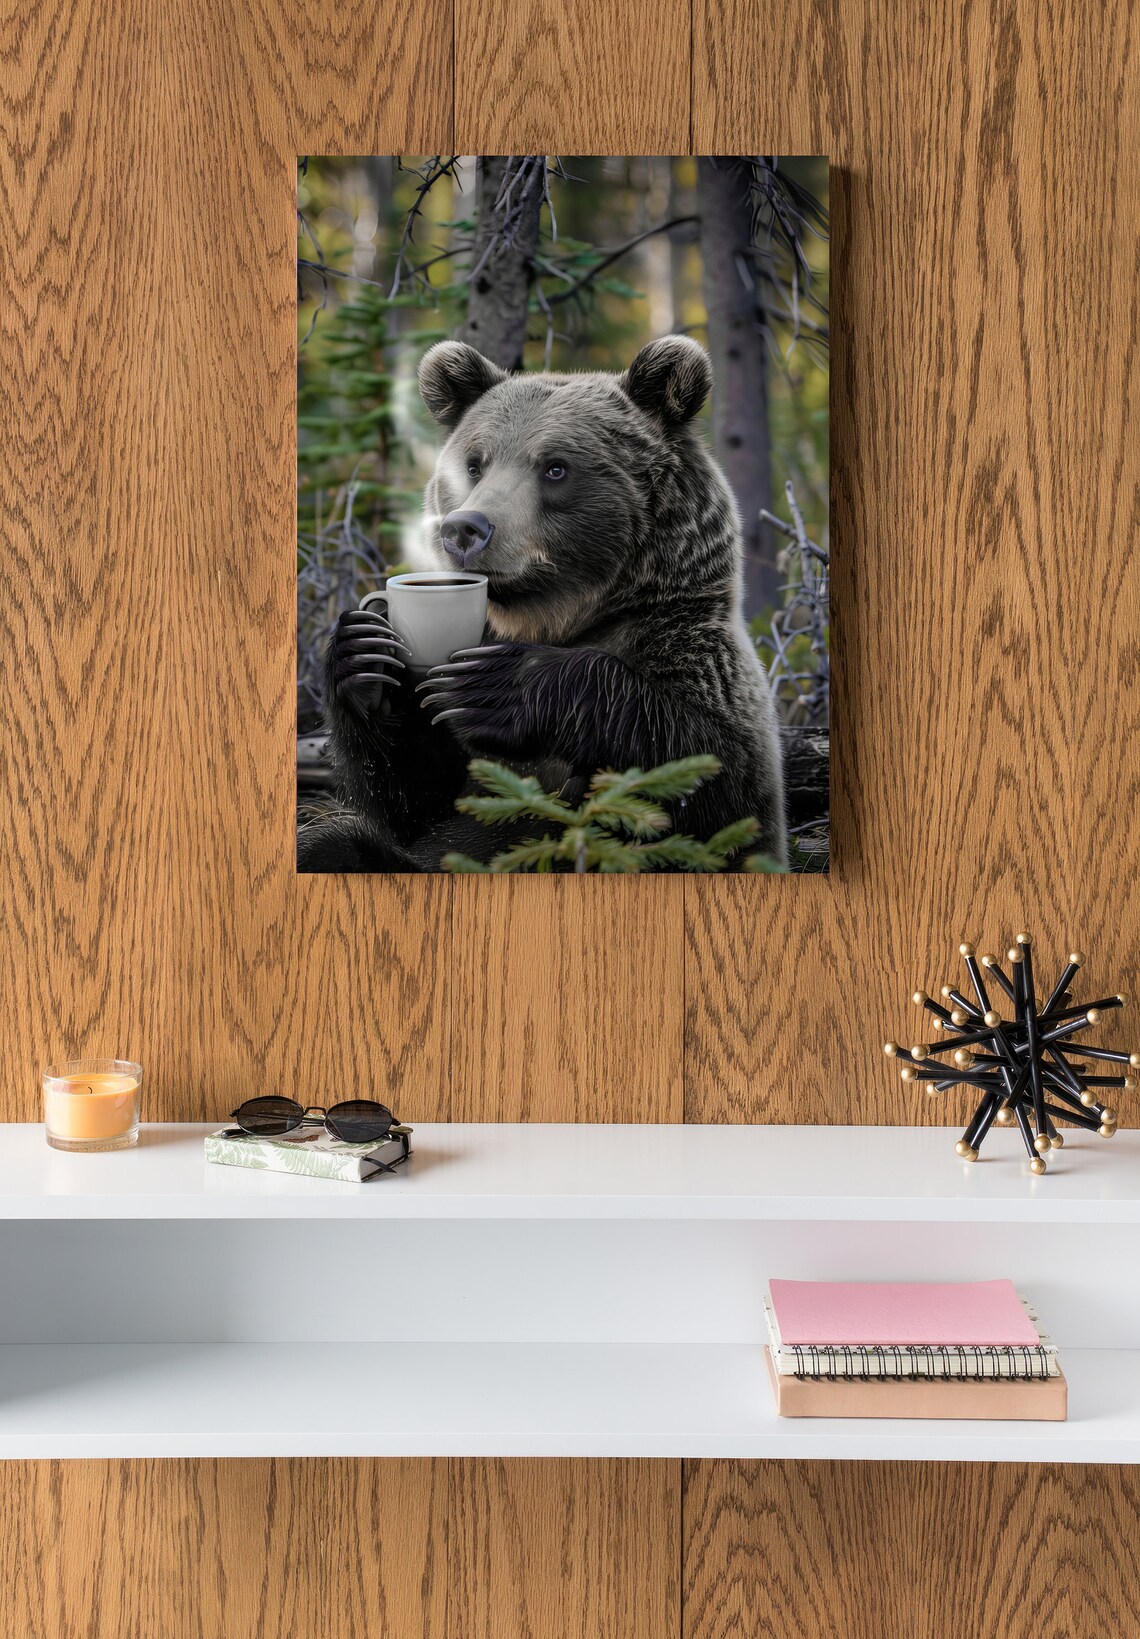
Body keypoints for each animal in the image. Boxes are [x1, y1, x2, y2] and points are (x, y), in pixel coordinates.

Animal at [297, 334, 788, 873]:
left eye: (555, 467)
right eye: (475, 464)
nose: (464, 529)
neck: (554, 617)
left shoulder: (693, 653)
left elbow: (709, 775)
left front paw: (497, 684)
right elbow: (416, 799)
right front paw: (364, 654)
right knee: (338, 846)